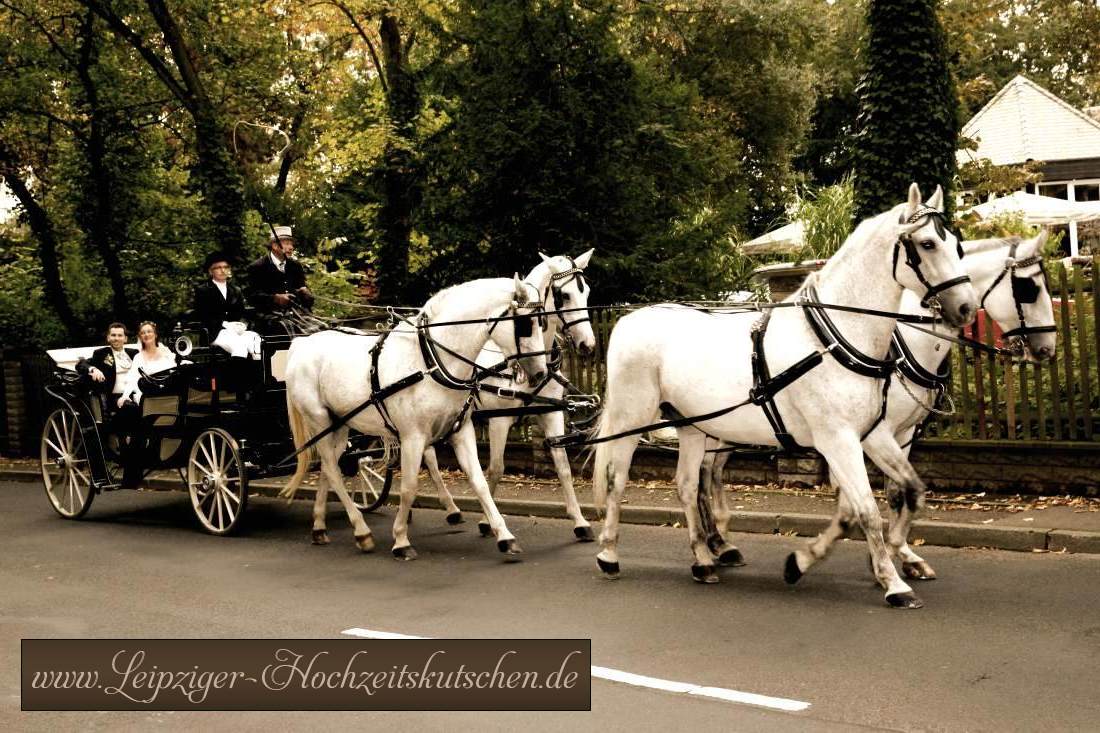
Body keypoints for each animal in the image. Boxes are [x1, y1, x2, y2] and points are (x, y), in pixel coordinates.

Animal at [281, 277, 550, 556]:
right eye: (526, 324)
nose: (541, 373)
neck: (431, 361)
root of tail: (302, 343)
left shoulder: (461, 431)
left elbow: (479, 482)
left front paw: (504, 535)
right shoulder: (413, 436)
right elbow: (409, 488)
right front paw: (401, 539)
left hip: (340, 423)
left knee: (328, 466)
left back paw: (320, 526)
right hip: (318, 419)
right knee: (333, 471)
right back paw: (361, 530)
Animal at [420, 249, 598, 537]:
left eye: (587, 292)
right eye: (564, 295)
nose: (588, 345)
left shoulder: (550, 413)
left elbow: (563, 466)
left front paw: (580, 521)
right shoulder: (499, 420)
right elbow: (495, 469)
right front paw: (486, 521)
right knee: (430, 457)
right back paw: (450, 507)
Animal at [589, 182, 976, 603]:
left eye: (957, 244)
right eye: (926, 243)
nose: (967, 307)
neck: (834, 337)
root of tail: (628, 319)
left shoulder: (873, 434)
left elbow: (907, 492)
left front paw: (819, 561)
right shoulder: (838, 439)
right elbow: (867, 510)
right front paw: (892, 581)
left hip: (693, 427)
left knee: (689, 486)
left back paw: (704, 560)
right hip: (632, 418)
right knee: (616, 477)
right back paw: (609, 553)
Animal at [704, 228, 1056, 581]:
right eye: (1029, 289)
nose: (1048, 348)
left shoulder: (904, 433)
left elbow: (896, 492)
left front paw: (900, 554)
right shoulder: (870, 432)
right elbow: (864, 495)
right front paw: (882, 558)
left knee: (711, 472)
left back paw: (719, 543)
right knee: (706, 473)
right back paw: (713, 546)